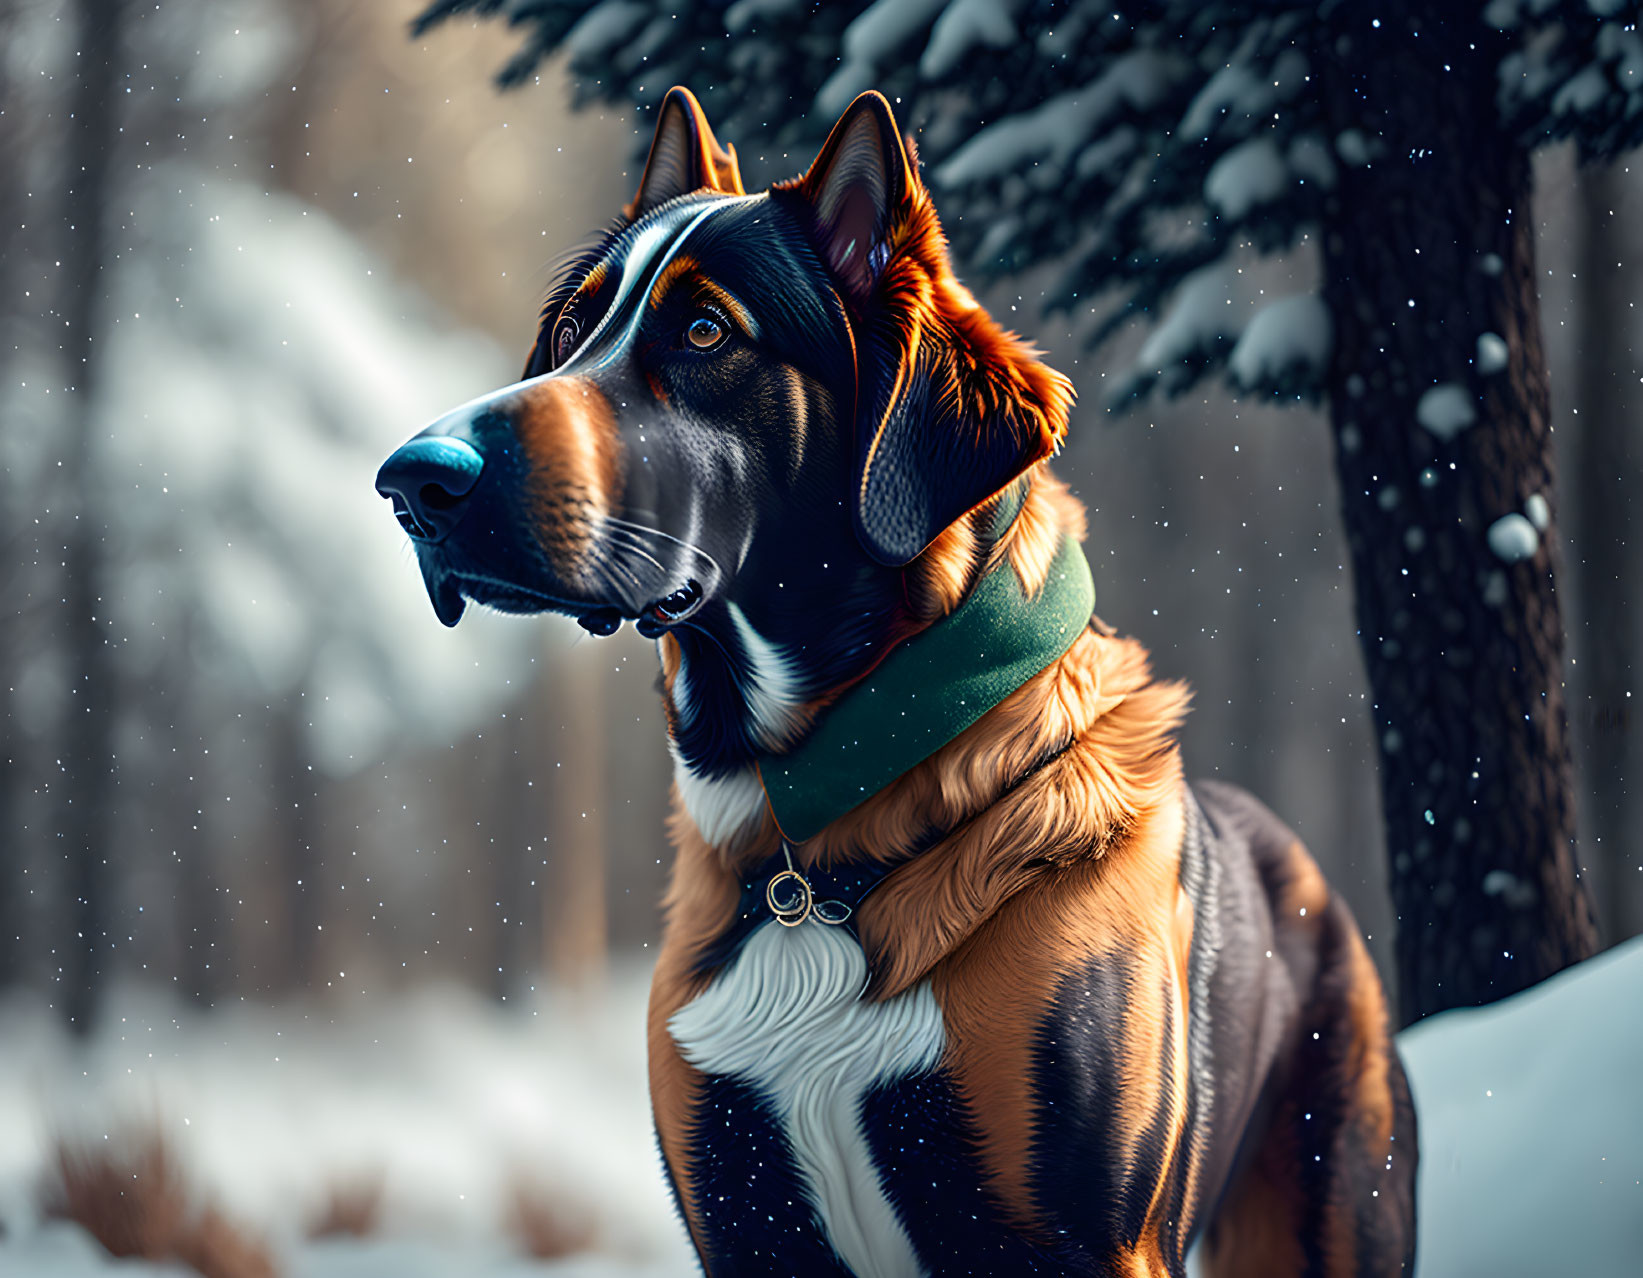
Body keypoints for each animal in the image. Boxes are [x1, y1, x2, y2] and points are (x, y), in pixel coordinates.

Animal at [376, 84, 1412, 1268]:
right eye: (564, 332)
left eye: (704, 330)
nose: (411, 482)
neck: (808, 863)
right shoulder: (741, 1231)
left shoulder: (1093, 1237)